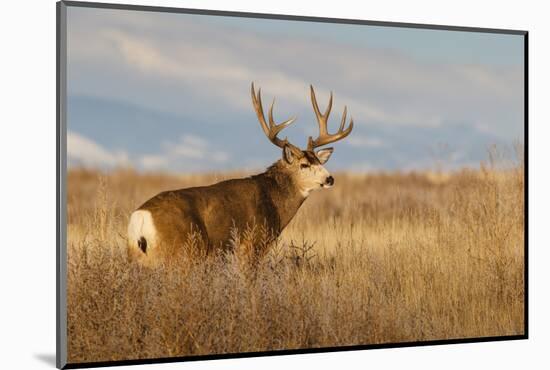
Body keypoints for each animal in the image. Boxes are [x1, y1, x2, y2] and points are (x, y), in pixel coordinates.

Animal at [128, 83, 356, 266]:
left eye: (319, 161)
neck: (273, 201)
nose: (330, 178)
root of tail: (140, 220)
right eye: (304, 164)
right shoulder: (253, 245)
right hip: (182, 251)